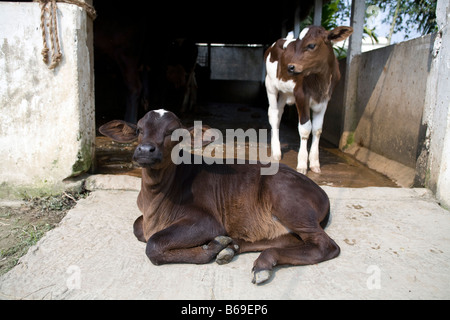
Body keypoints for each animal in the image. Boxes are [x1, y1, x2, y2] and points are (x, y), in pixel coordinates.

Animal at [98, 109, 338, 282]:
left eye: (173, 133)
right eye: (139, 129)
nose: (146, 150)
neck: (154, 201)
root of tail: (320, 191)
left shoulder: (207, 221)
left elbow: (153, 244)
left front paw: (210, 248)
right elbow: (138, 228)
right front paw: (221, 246)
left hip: (289, 203)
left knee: (325, 245)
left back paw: (254, 260)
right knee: (286, 240)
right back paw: (234, 249)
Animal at [266, 26, 354, 174]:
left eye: (311, 45)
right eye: (296, 45)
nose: (290, 67)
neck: (320, 80)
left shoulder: (325, 100)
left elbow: (317, 129)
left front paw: (314, 162)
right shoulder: (301, 96)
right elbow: (305, 129)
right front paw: (302, 163)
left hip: (284, 92)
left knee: (279, 115)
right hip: (271, 85)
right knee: (273, 114)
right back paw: (277, 152)